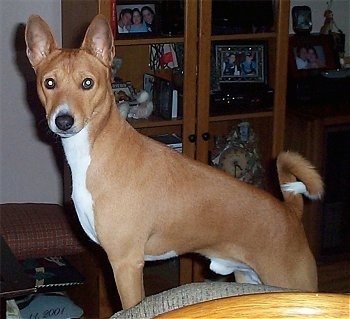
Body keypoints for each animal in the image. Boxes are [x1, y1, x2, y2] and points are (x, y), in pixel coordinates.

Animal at [26, 14, 324, 310]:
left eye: (87, 83)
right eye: (49, 83)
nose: (63, 120)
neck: (96, 151)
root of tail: (290, 212)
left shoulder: (126, 263)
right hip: (249, 279)